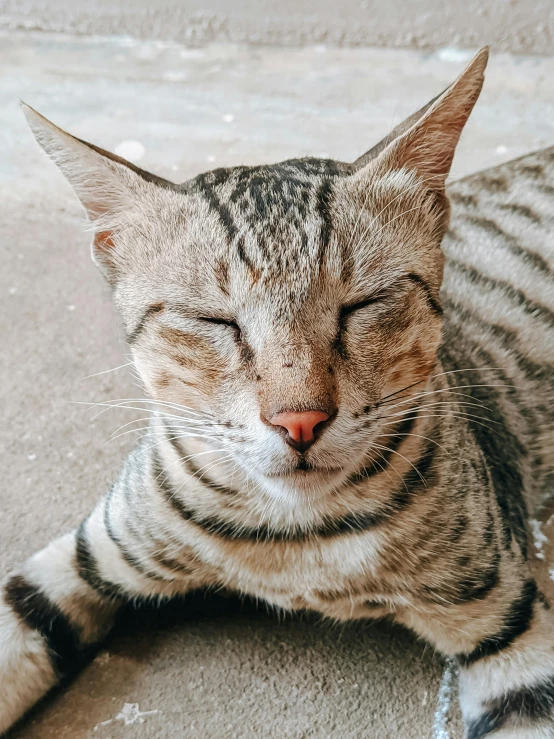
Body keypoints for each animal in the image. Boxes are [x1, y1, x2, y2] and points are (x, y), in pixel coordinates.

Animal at [1, 49, 552, 736]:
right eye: (215, 321)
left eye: (360, 306)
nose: (300, 421)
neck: (297, 544)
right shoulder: (86, 559)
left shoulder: (509, 624)